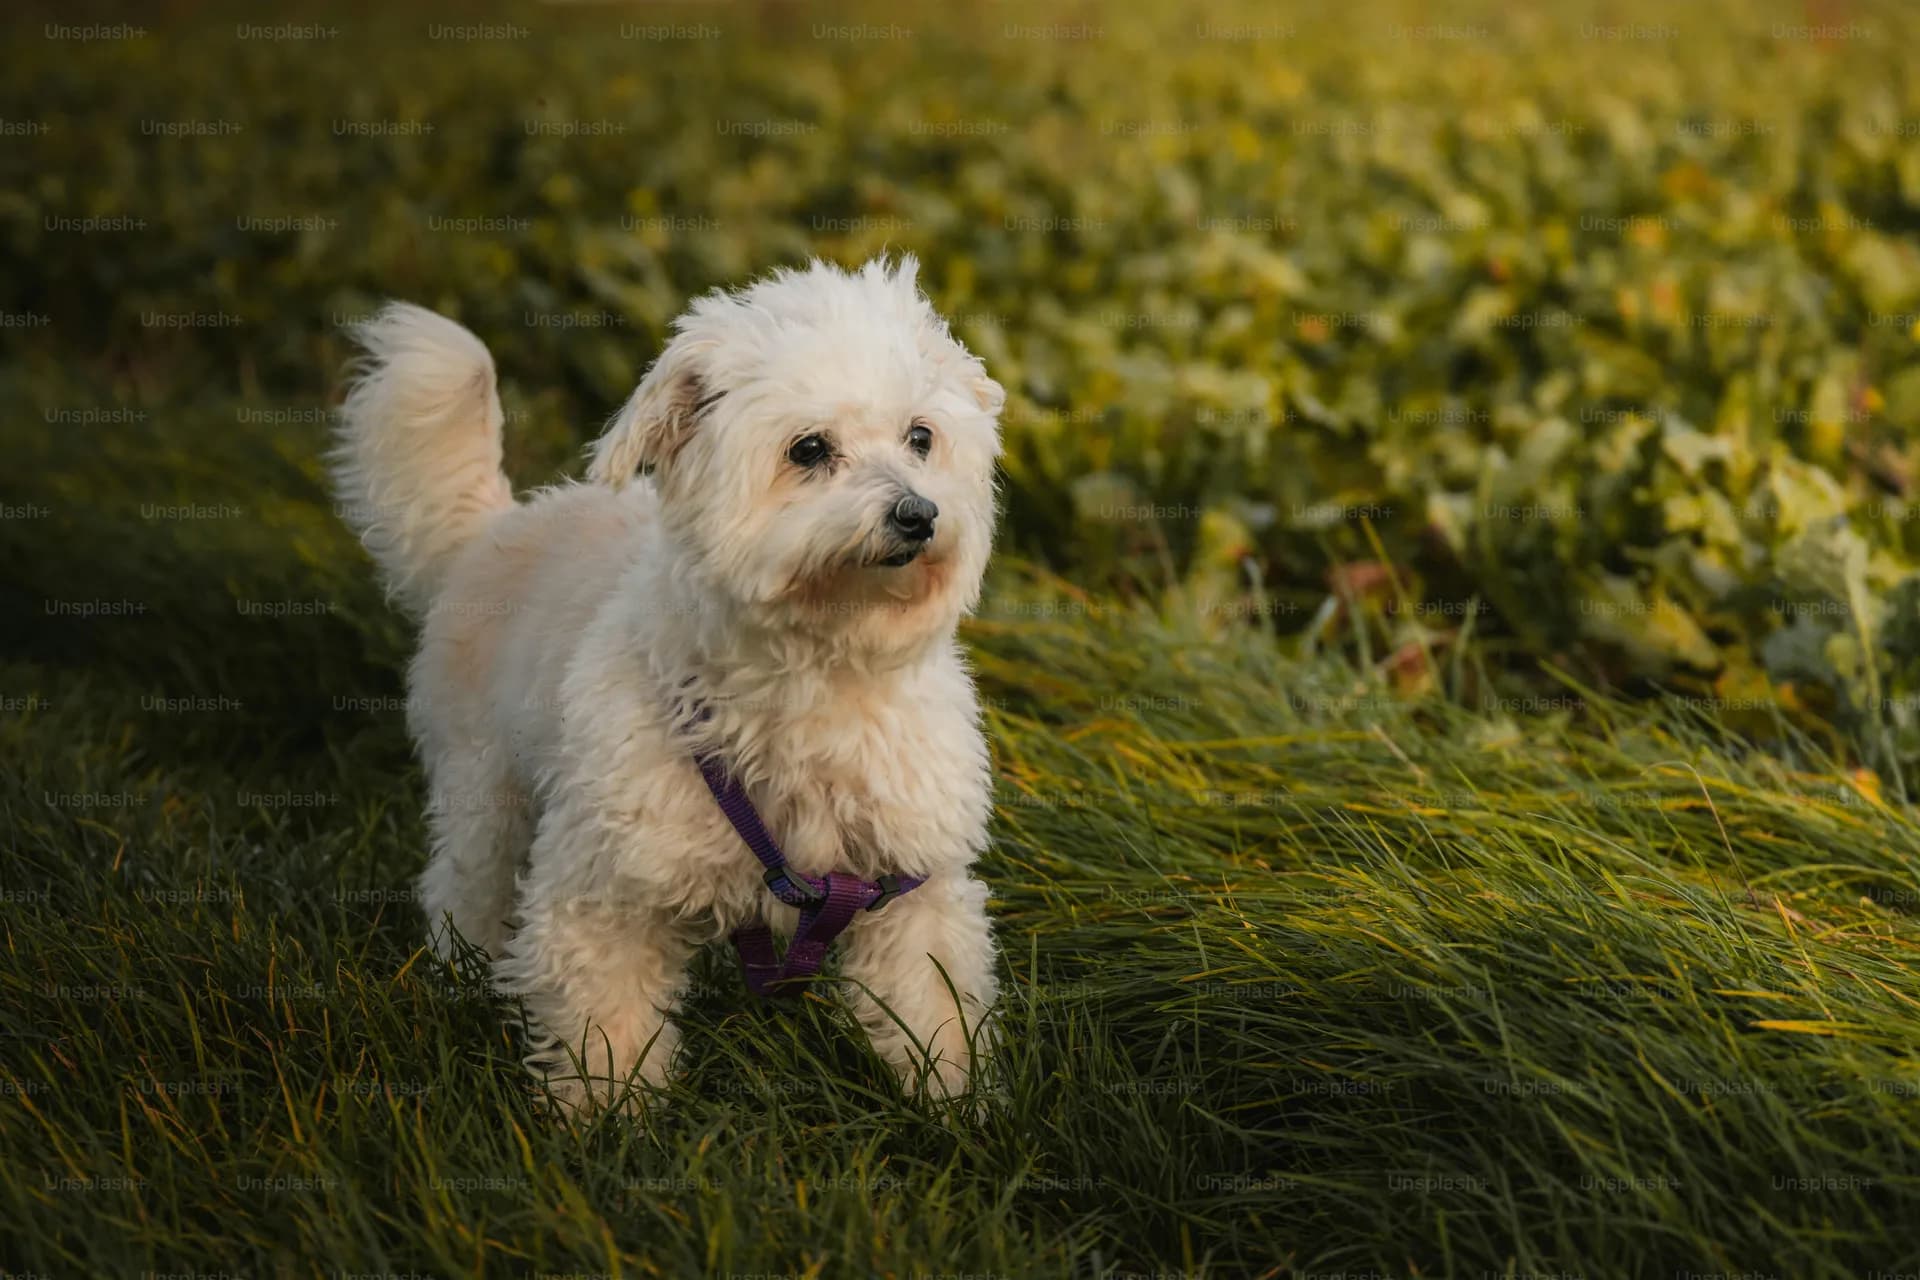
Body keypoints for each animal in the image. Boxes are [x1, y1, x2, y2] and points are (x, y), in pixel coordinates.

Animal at [332, 257, 1006, 1113]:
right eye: (809, 449)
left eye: (921, 437)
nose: (918, 513)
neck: (819, 670)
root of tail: (496, 524)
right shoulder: (605, 889)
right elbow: (606, 1027)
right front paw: (604, 1123)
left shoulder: (911, 889)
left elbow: (934, 1006)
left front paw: (959, 1106)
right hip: (486, 793)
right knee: (465, 888)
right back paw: (460, 977)